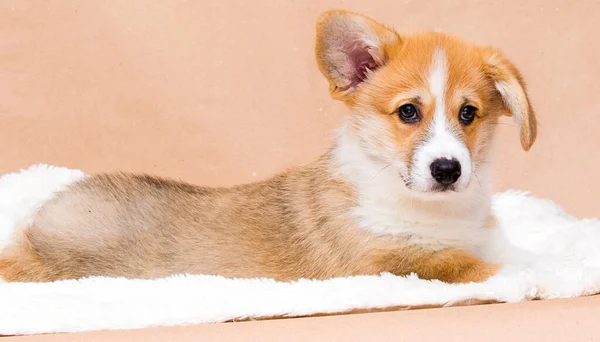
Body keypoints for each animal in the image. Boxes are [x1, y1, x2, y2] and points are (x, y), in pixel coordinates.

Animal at [0, 10, 536, 284]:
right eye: (408, 112)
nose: (447, 169)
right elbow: (469, 266)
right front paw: (528, 280)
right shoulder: (385, 264)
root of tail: (30, 232)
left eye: (468, 114)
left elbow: (512, 251)